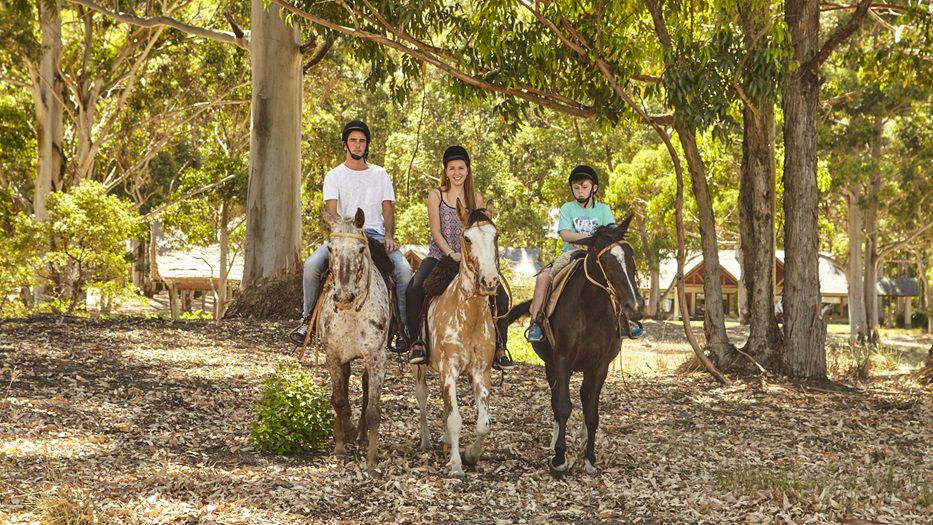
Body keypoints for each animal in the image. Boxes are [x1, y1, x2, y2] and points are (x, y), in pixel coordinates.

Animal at [318, 209, 392, 466]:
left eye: (360, 250)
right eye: (330, 248)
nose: (343, 296)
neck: (352, 313)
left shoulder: (377, 357)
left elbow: (373, 410)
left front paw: (371, 459)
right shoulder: (333, 355)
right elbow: (339, 400)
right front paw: (340, 447)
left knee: (366, 386)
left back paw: (360, 434)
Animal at [416, 207, 502, 476]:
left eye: (496, 236)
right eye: (467, 238)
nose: (489, 282)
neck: (468, 315)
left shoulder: (481, 372)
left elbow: (484, 422)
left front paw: (471, 455)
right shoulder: (449, 370)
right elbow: (455, 419)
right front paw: (455, 465)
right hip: (420, 367)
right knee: (422, 397)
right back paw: (426, 441)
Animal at [506, 215, 644, 472]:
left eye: (630, 256)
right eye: (606, 261)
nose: (636, 307)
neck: (591, 310)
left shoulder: (599, 367)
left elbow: (591, 412)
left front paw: (589, 457)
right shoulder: (562, 362)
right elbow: (562, 406)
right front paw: (559, 457)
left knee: (584, 396)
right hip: (550, 366)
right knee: (556, 400)